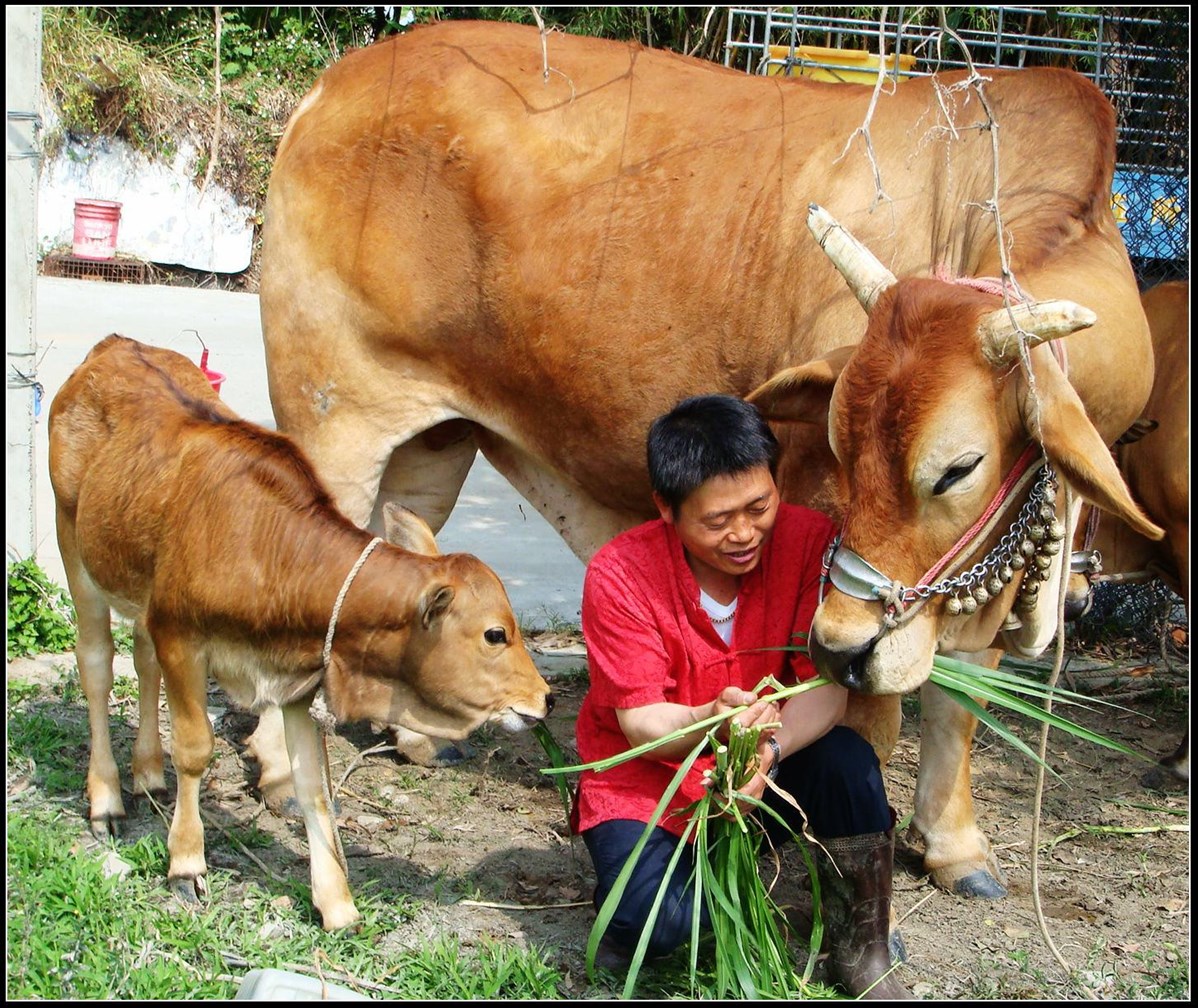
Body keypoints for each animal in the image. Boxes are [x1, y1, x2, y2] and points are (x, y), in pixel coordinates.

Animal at [46, 335, 551, 930]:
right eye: (496, 634)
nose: (544, 698)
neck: (270, 554)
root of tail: (115, 345)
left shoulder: (291, 680)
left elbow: (314, 786)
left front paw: (336, 903)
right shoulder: (182, 638)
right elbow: (195, 749)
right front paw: (186, 863)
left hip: (139, 588)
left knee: (142, 660)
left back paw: (147, 772)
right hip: (75, 551)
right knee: (97, 668)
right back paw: (106, 800)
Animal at [255, 17, 1159, 896]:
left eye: (959, 470)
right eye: (838, 445)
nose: (844, 649)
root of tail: (337, 82)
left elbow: (959, 708)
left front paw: (956, 846)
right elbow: (871, 721)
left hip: (430, 446)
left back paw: (417, 735)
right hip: (331, 422)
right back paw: (278, 771)